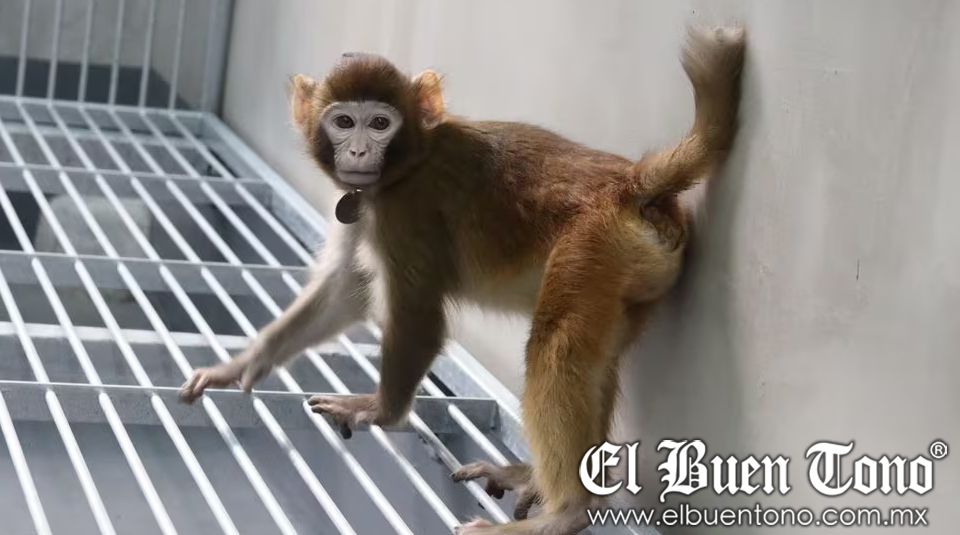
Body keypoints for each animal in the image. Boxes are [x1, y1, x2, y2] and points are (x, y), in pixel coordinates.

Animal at [179, 24, 746, 535]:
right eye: (343, 121)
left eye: (379, 123)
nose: (358, 152)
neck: (409, 162)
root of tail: (631, 184)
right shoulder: (365, 205)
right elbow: (346, 289)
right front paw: (241, 365)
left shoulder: (406, 212)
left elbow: (419, 318)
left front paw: (382, 411)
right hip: (628, 273)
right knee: (594, 360)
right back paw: (545, 481)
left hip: (592, 245)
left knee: (557, 350)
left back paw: (566, 512)